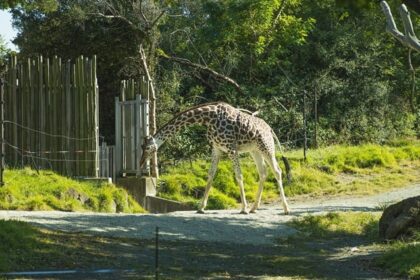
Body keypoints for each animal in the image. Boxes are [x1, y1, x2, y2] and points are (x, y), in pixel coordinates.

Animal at [139, 102, 290, 214]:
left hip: (267, 147)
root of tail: (270, 128)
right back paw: (254, 208)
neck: (209, 118)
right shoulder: (216, 148)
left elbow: (239, 175)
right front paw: (201, 207)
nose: (141, 163)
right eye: (142, 146)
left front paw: (244, 209)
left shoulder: (231, 148)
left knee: (277, 171)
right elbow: (211, 174)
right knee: (263, 172)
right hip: (255, 150)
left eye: (147, 148)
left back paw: (285, 209)